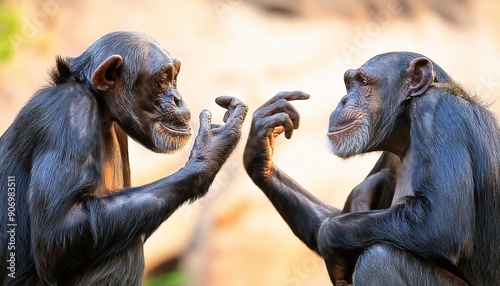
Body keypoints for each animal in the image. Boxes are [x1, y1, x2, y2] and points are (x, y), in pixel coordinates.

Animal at [0, 30, 248, 284]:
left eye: (174, 77)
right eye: (163, 80)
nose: (178, 98)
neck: (101, 107)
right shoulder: (70, 110)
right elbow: (59, 229)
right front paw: (209, 152)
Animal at [244, 52, 500, 284]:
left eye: (364, 82)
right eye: (349, 84)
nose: (343, 100)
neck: (406, 124)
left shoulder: (435, 110)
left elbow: (440, 222)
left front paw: (328, 237)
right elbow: (334, 216)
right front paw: (260, 150)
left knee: (379, 259)